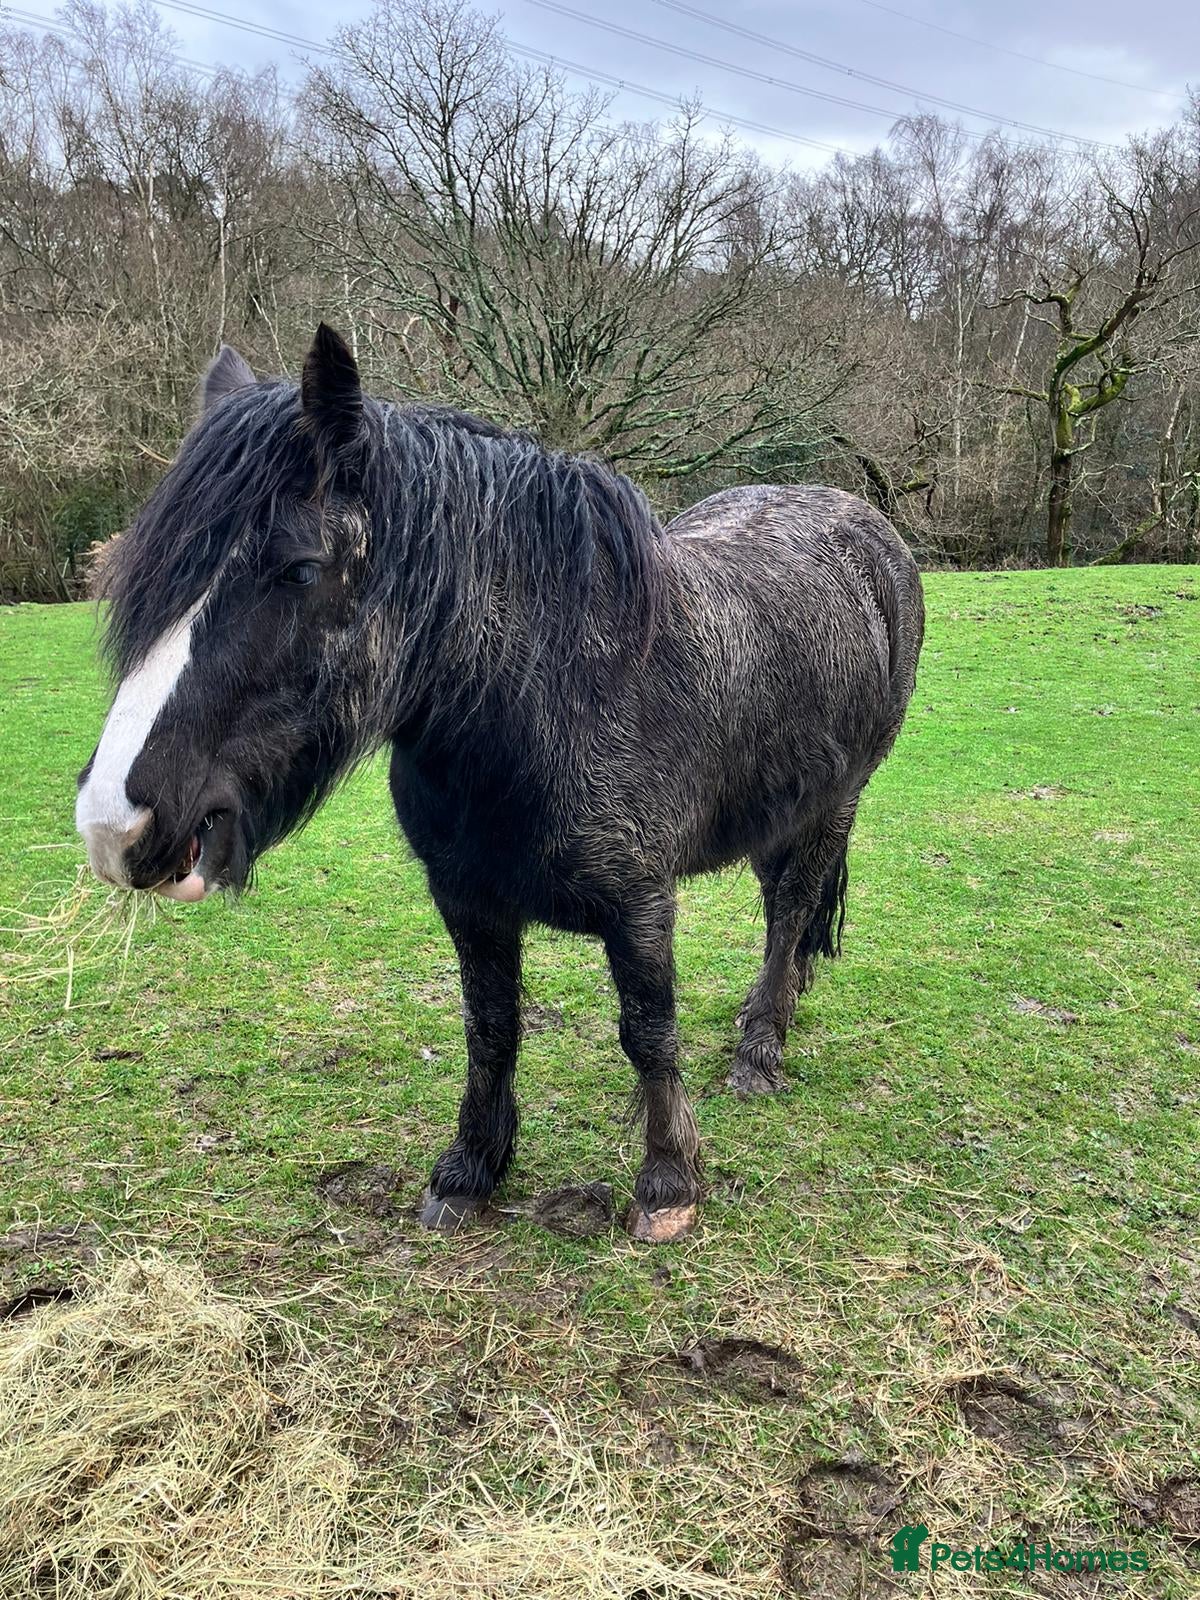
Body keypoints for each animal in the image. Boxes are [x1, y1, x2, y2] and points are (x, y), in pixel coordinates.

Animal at [76, 325, 924, 1243]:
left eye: (299, 569)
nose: (114, 826)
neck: (548, 695)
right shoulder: (467, 899)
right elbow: (490, 1028)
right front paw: (472, 1167)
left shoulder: (641, 903)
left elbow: (648, 1031)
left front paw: (667, 1182)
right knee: (780, 910)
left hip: (836, 805)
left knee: (793, 909)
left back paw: (760, 1048)